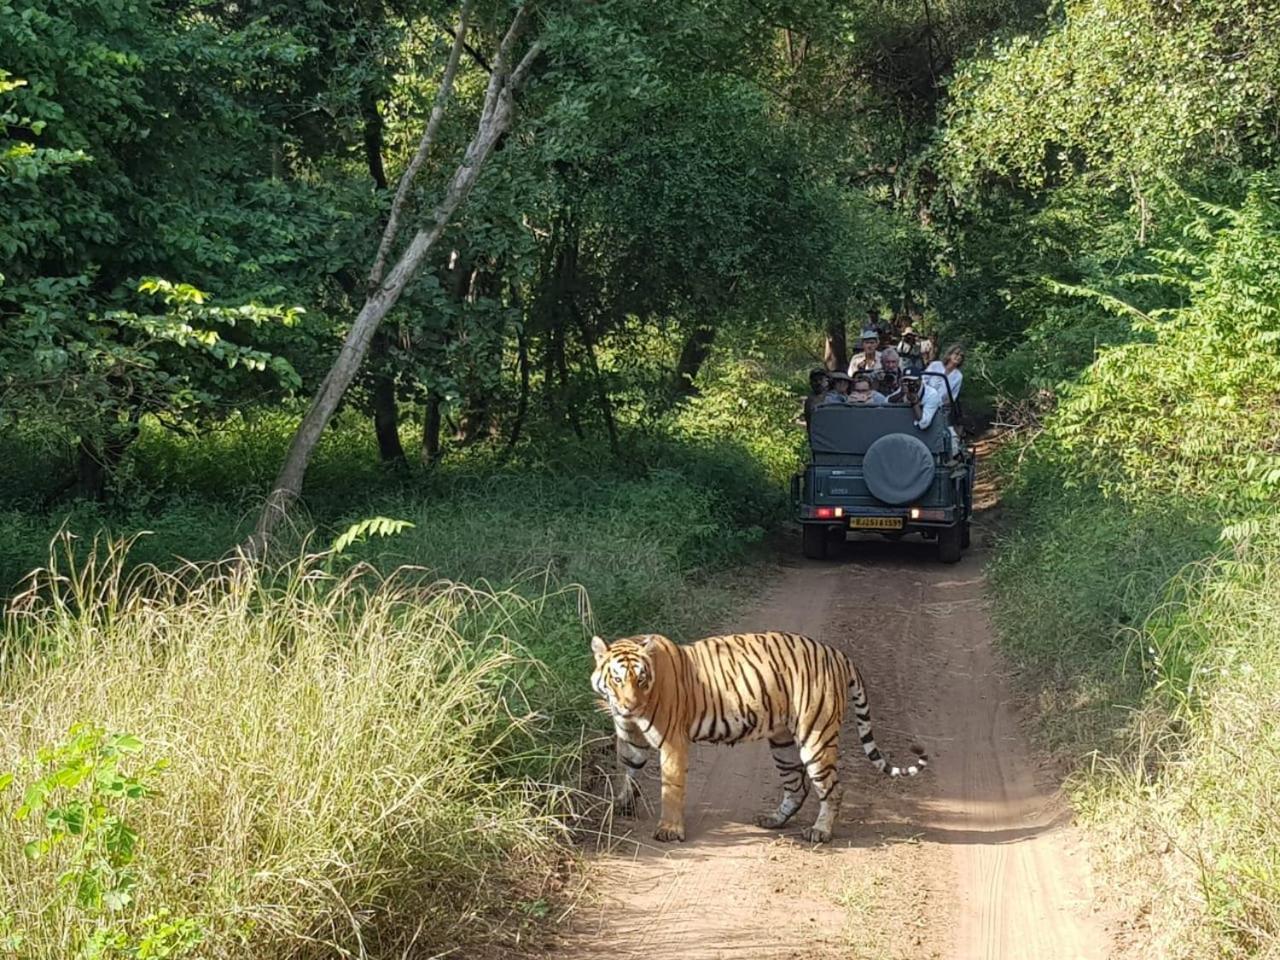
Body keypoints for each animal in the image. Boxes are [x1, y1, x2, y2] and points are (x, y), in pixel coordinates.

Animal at [588, 634, 931, 844]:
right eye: (616, 679)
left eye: (641, 679)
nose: (629, 705)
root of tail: (837, 653)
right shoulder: (631, 740)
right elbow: (627, 771)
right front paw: (619, 805)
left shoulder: (673, 742)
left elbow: (670, 788)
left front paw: (669, 830)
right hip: (783, 742)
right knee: (797, 786)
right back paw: (773, 820)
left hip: (816, 738)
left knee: (832, 789)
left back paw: (820, 832)